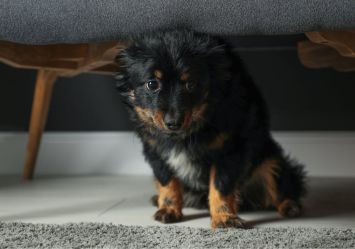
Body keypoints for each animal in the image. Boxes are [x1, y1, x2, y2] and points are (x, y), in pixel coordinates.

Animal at [115, 29, 308, 230]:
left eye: (191, 84)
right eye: (152, 84)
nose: (173, 123)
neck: (186, 133)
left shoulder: (230, 150)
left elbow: (220, 186)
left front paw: (224, 218)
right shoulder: (155, 151)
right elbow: (168, 182)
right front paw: (169, 209)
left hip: (271, 161)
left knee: (283, 189)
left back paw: (290, 206)